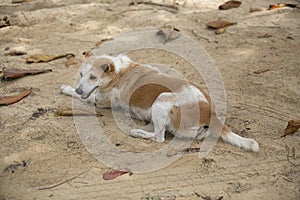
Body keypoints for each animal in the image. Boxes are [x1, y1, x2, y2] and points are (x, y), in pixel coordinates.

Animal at [60, 54, 258, 152]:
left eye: (93, 77)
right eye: (81, 74)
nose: (79, 89)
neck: (120, 72)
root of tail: (209, 110)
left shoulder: (100, 101)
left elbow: (83, 96)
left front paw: (67, 89)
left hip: (161, 100)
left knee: (159, 137)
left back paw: (138, 132)